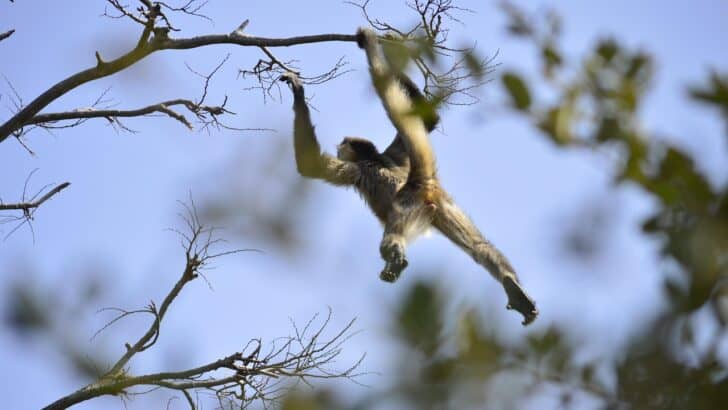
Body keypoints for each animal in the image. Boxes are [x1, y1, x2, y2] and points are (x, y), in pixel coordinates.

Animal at [279, 28, 538, 325]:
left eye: (343, 146)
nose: (339, 147)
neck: (377, 158)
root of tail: (418, 182)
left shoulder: (357, 170)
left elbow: (310, 166)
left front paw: (298, 90)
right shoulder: (397, 152)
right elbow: (429, 119)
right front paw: (391, 41)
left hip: (406, 206)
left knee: (391, 238)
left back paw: (397, 260)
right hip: (443, 207)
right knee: (479, 246)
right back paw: (511, 284)